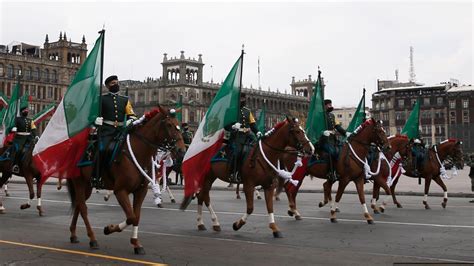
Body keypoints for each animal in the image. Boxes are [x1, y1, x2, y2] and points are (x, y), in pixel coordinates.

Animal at [66, 107, 185, 255]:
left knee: (78, 204)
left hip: (87, 185)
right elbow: (131, 217)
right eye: (169, 125)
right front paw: (109, 228)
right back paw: (93, 239)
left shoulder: (141, 191)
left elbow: (136, 216)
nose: (182, 150)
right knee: (83, 208)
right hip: (79, 182)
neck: (138, 152)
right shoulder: (120, 191)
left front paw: (136, 243)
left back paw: (73, 234)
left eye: (178, 124)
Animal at [181, 117, 314, 238]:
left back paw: (206, 223)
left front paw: (274, 228)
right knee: (204, 197)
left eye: (303, 131)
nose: (311, 149)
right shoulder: (248, 185)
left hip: (211, 176)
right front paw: (237, 224)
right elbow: (250, 208)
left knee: (202, 196)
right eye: (297, 131)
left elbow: (270, 207)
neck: (263, 156)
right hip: (207, 176)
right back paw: (210, 221)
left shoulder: (269, 186)